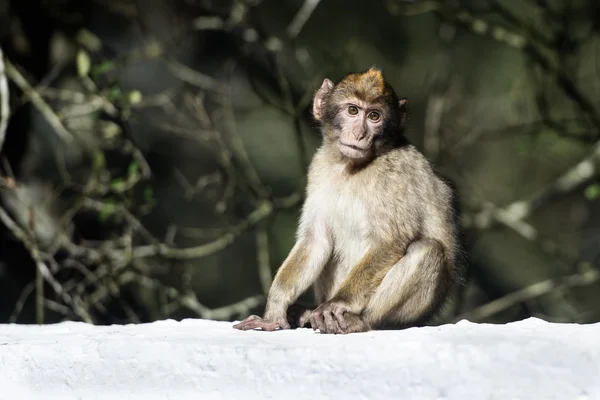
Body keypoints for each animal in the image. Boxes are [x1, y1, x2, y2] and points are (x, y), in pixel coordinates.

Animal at [232, 66, 462, 334]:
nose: (360, 133)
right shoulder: (319, 168)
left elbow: (392, 240)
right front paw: (274, 311)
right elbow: (316, 241)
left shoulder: (394, 173)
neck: (350, 167)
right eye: (353, 110)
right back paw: (307, 313)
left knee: (428, 250)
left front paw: (337, 304)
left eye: (374, 116)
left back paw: (359, 320)